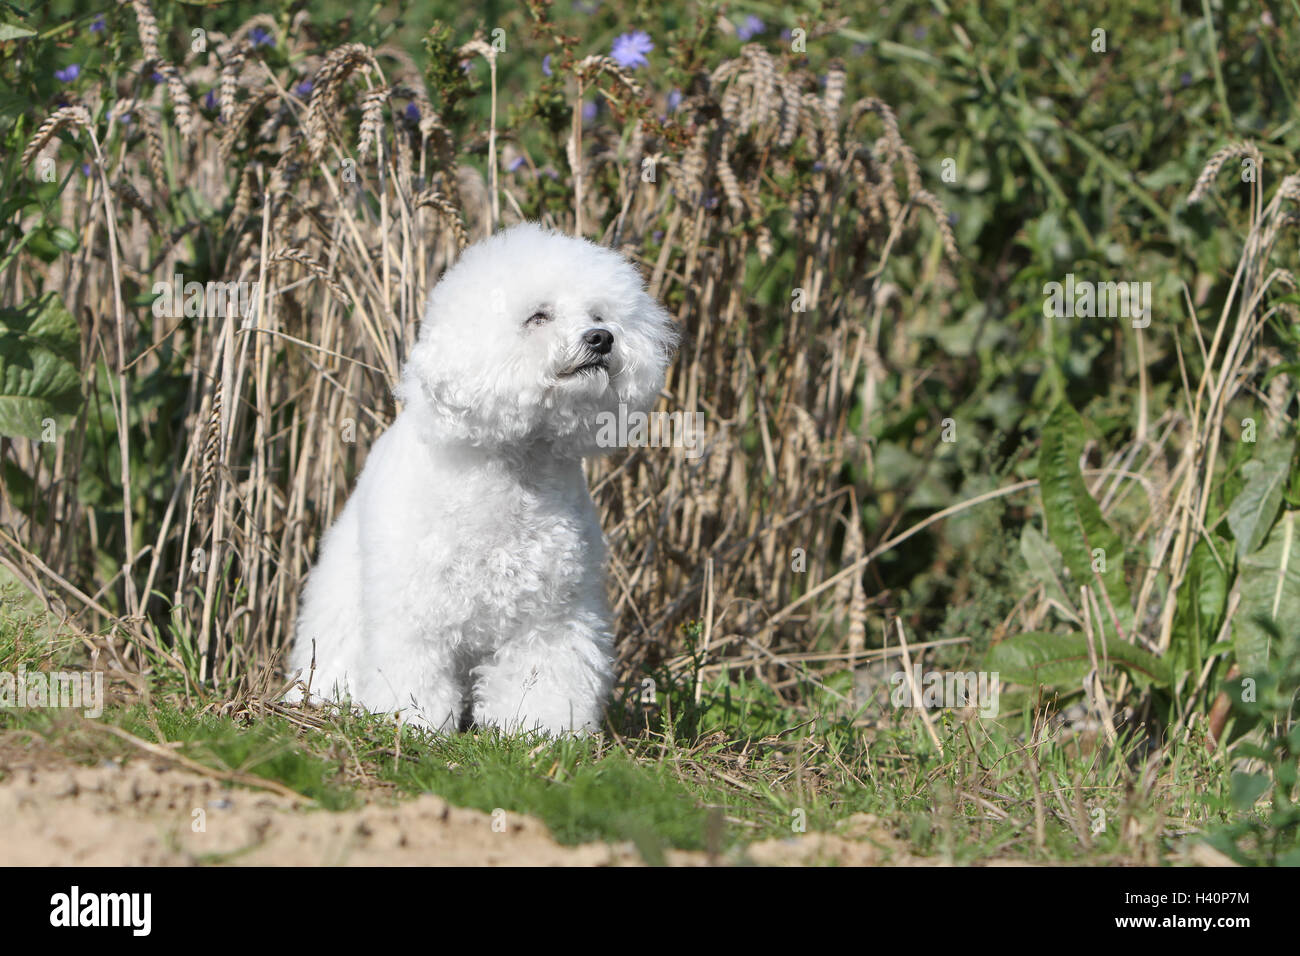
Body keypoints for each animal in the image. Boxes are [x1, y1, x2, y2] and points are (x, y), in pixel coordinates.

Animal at [287, 222, 681, 733]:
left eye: (600, 314)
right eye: (538, 316)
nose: (602, 337)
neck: (514, 467)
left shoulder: (552, 617)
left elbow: (547, 679)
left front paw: (546, 730)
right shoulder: (416, 613)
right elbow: (414, 676)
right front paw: (415, 724)